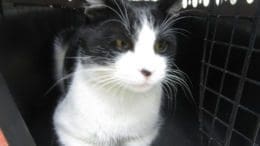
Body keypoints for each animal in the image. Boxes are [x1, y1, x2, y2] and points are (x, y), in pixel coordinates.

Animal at [52, 0, 189, 146]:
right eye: (121, 43)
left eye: (161, 45)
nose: (147, 71)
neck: (121, 97)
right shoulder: (65, 126)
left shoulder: (146, 133)